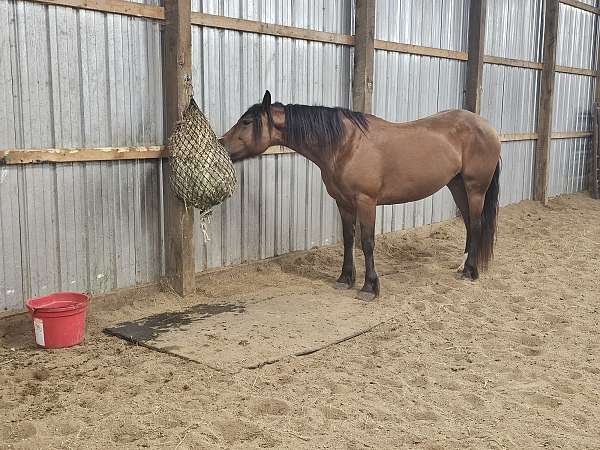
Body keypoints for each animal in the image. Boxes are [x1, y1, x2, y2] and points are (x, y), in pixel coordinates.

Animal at [218, 90, 500, 302]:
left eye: (246, 122)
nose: (221, 144)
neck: (346, 144)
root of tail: (488, 127)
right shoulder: (343, 203)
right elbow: (347, 238)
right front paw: (345, 278)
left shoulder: (366, 202)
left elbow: (366, 242)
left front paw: (369, 287)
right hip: (456, 186)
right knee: (468, 224)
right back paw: (463, 266)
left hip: (475, 188)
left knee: (476, 224)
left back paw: (470, 272)